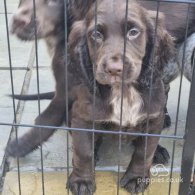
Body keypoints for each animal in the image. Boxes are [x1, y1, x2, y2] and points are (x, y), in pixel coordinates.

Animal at [65, 0, 174, 193]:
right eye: (96, 34)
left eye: (134, 32)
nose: (114, 69)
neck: (123, 90)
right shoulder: (82, 118)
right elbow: (83, 152)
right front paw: (82, 181)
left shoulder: (154, 118)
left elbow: (144, 152)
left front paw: (136, 178)